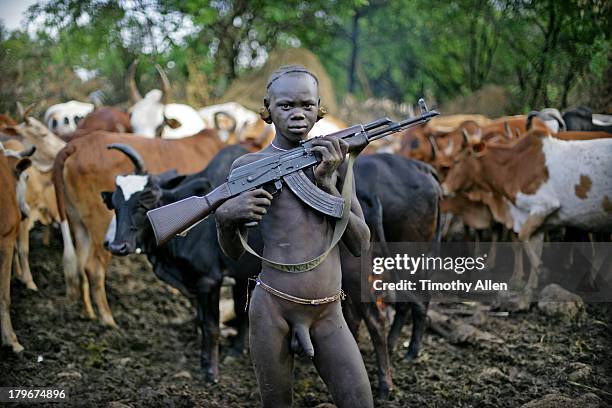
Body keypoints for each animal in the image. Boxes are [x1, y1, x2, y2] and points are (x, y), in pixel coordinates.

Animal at [53, 129, 224, 326]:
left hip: (78, 224)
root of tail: (75, 145)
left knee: (81, 266)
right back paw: (108, 319)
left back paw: (87, 312)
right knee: (93, 269)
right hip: (98, 228)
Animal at [103, 144, 260, 382]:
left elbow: (211, 326)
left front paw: (211, 373)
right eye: (114, 204)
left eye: (147, 200)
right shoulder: (233, 276)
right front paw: (217, 357)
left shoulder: (209, 281)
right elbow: (209, 319)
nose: (117, 247)